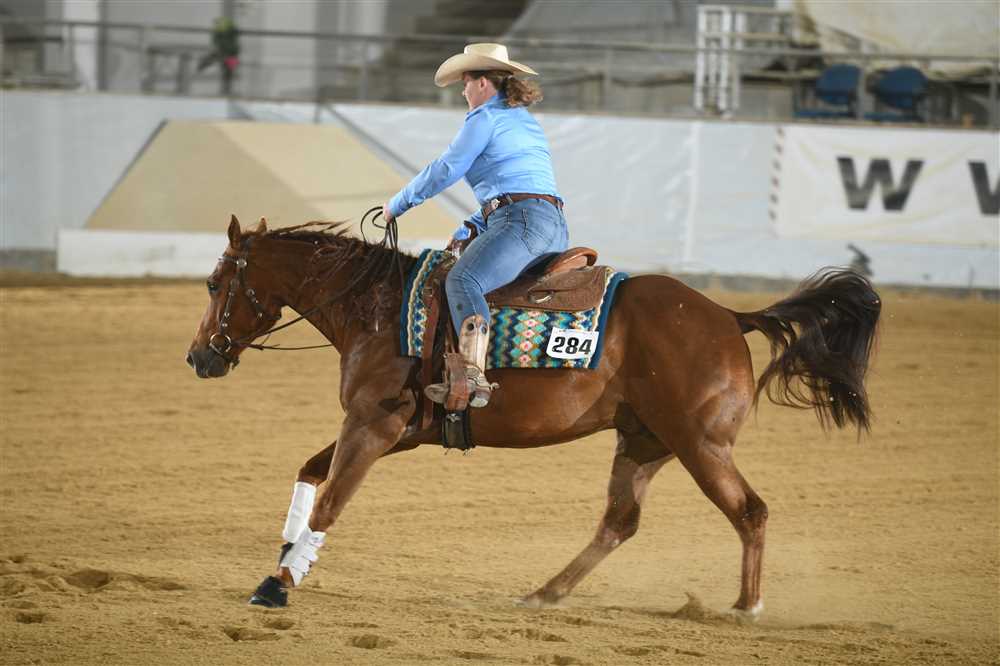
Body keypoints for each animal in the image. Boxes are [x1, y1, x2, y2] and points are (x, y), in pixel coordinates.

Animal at [186, 215, 881, 617]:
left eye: (217, 284)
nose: (199, 357)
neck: (377, 309)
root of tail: (730, 316)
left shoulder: (373, 427)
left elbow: (331, 500)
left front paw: (278, 581)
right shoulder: (388, 431)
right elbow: (311, 474)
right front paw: (292, 554)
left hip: (700, 445)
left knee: (749, 512)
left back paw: (745, 607)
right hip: (643, 442)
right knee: (619, 523)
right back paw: (545, 592)